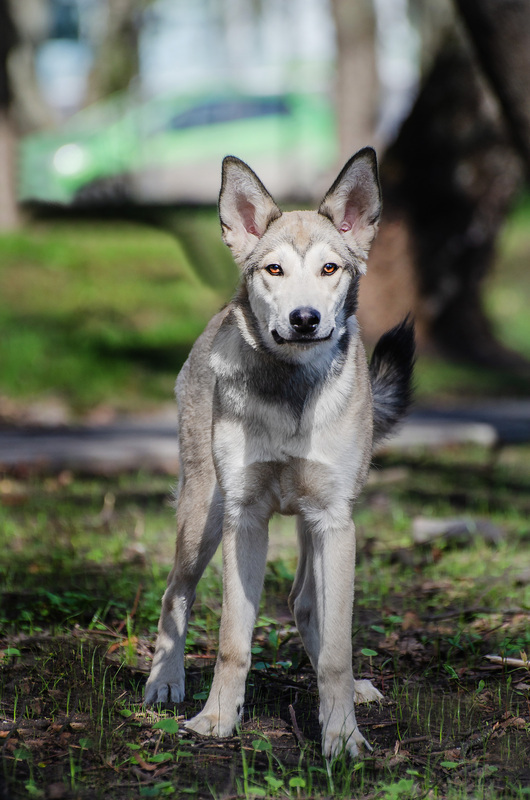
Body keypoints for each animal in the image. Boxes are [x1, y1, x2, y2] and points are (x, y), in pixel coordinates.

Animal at [143, 148, 412, 756]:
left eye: (330, 269)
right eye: (274, 271)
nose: (305, 319)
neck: (292, 390)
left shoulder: (335, 520)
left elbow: (336, 647)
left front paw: (342, 738)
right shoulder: (244, 518)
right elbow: (231, 643)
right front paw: (217, 720)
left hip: (317, 526)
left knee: (304, 603)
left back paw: (348, 694)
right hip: (203, 515)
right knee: (175, 593)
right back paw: (165, 683)